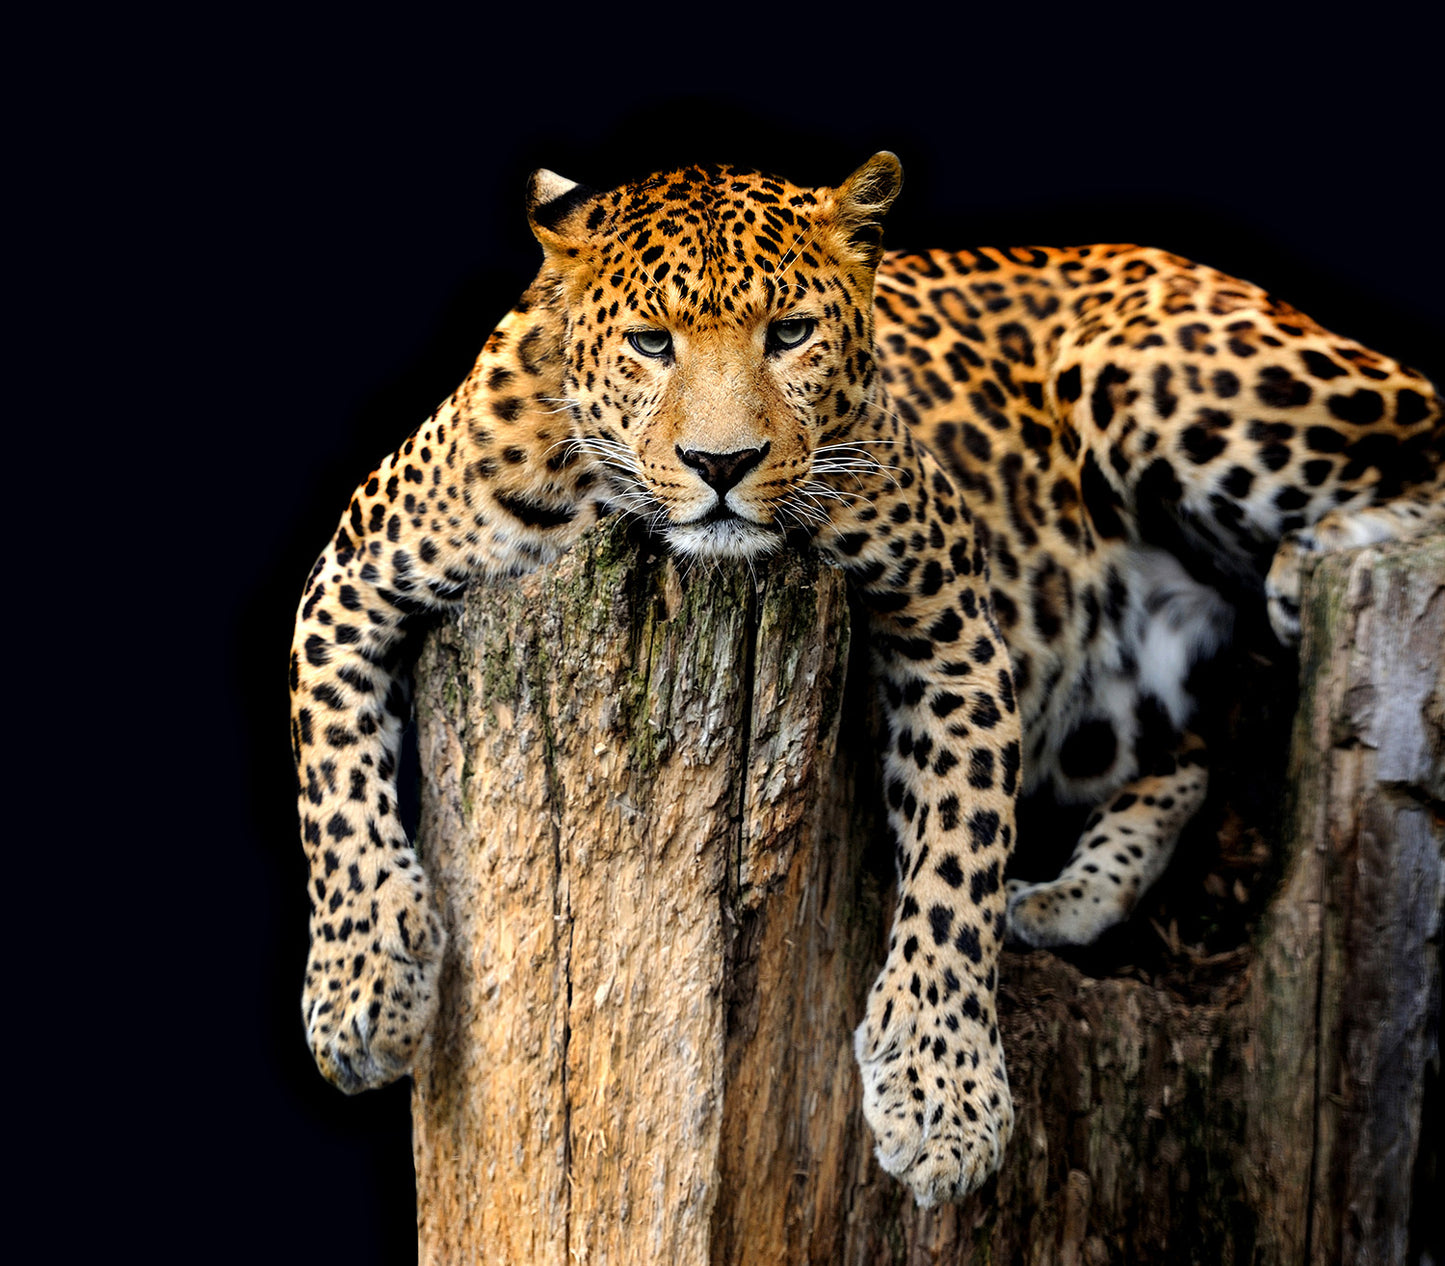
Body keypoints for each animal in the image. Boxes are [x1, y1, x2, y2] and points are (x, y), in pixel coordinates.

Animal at [288, 152, 1445, 1207]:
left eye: (790, 333)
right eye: (652, 342)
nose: (721, 465)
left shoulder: (950, 617)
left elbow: (957, 857)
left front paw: (942, 1096)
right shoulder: (348, 579)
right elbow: (332, 790)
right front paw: (362, 993)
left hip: (1164, 373)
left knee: (1425, 445)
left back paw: (1308, 562)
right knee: (1190, 752)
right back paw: (1065, 897)